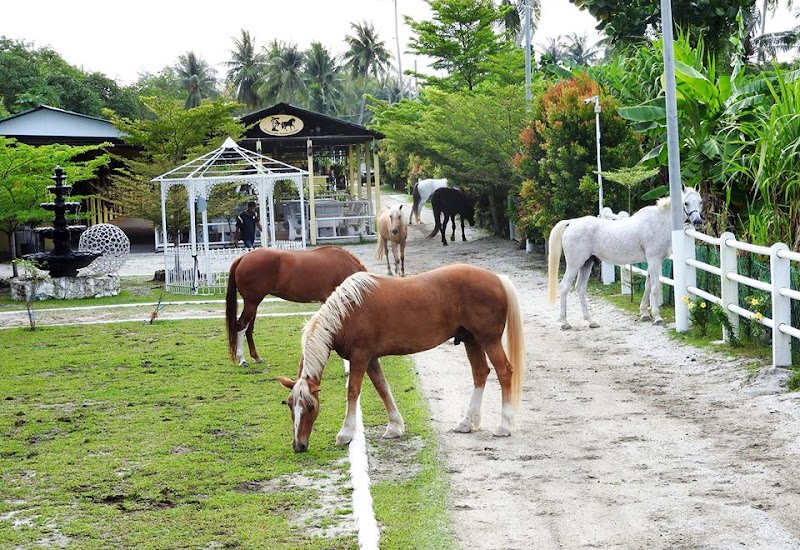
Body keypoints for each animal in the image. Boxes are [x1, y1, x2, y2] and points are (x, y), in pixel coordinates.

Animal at [227, 246, 368, 366]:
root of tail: (243, 258)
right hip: (252, 302)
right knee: (241, 326)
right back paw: (242, 360)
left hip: (253, 303)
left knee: (249, 328)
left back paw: (256, 357)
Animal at [278, 266, 528, 452]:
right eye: (290, 404)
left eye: (311, 406)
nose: (299, 445)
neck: (348, 311)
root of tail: (497, 278)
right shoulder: (370, 359)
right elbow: (382, 387)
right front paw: (395, 426)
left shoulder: (360, 357)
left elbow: (353, 391)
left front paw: (346, 433)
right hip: (471, 340)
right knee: (480, 374)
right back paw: (467, 422)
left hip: (488, 340)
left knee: (504, 371)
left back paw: (504, 425)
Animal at [548, 188, 704, 330]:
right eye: (686, 203)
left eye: (700, 202)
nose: (697, 221)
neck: (659, 222)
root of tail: (571, 223)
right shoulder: (654, 260)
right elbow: (654, 288)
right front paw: (657, 317)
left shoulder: (652, 262)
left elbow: (647, 286)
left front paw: (644, 314)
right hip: (574, 265)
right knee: (564, 287)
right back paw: (565, 323)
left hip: (587, 263)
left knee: (580, 288)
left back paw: (591, 321)